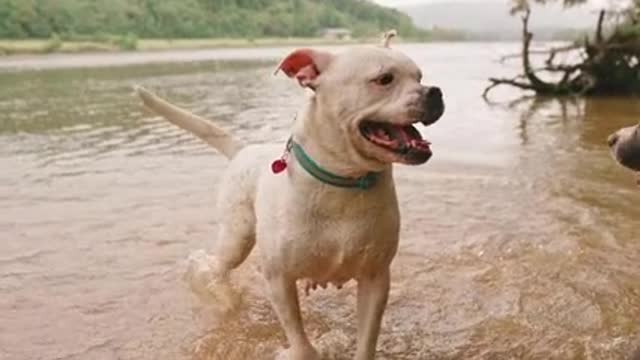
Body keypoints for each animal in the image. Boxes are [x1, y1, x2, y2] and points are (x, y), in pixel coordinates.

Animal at [135, 32, 444, 358]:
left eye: (419, 76)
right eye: (385, 79)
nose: (435, 92)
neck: (345, 181)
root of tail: (243, 149)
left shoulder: (375, 278)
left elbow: (367, 339)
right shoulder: (279, 278)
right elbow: (298, 336)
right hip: (237, 236)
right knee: (216, 266)